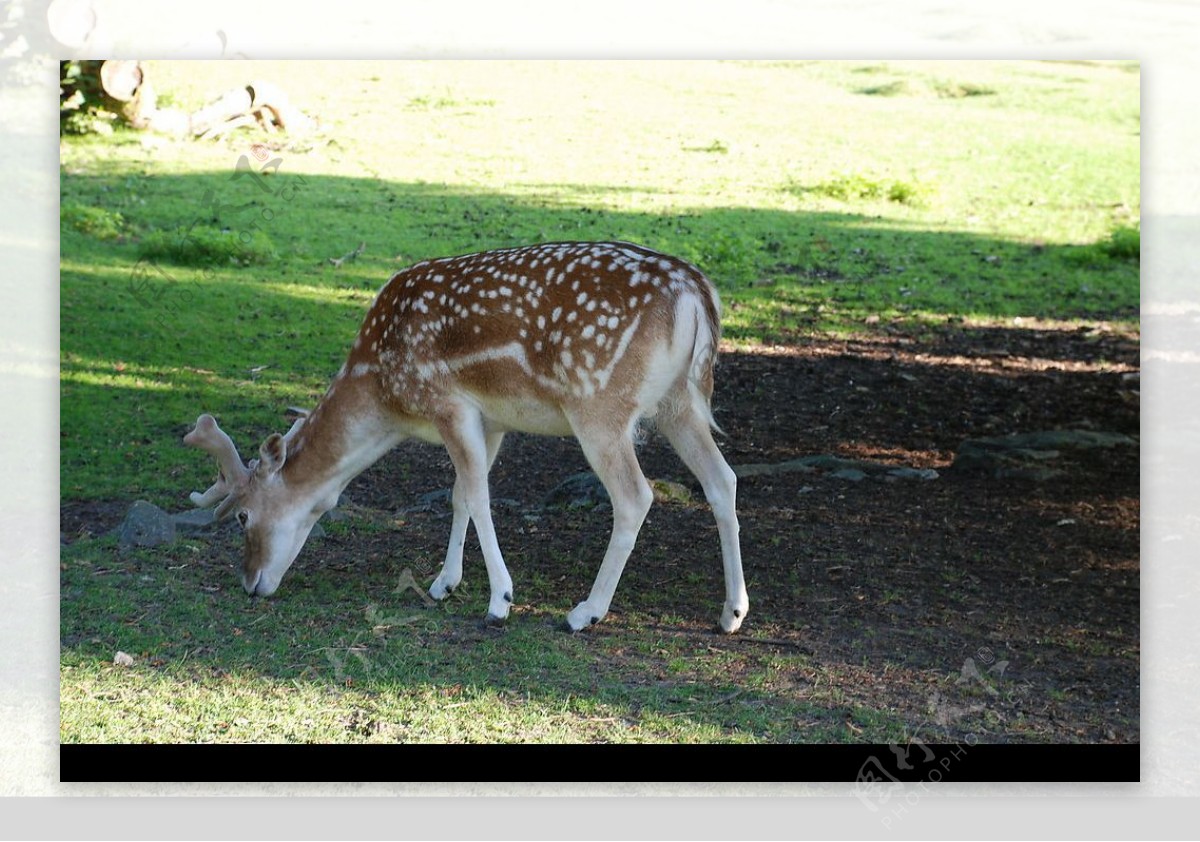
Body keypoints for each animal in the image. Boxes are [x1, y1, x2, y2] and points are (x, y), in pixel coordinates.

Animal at [184, 238, 748, 633]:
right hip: (680, 402)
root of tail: (697, 293)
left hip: (600, 403)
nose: (250, 583)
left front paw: (499, 602)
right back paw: (732, 614)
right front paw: (443, 584)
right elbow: (459, 496)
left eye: (242, 516)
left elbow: (478, 495)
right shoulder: (490, 419)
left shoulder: (447, 404)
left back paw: (584, 612)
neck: (385, 395)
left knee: (635, 495)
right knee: (723, 479)